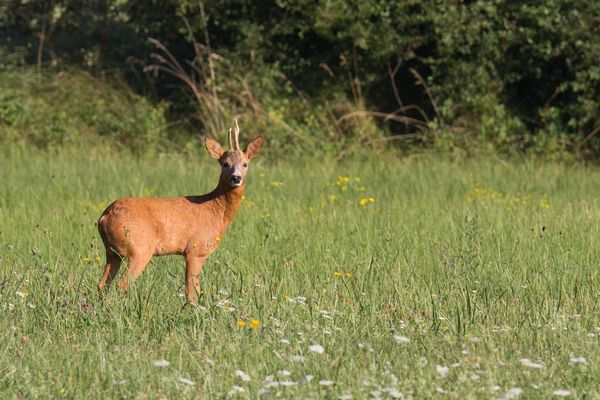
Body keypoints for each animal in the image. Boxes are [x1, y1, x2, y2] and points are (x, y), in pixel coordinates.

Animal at [97, 122, 264, 304]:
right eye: (225, 163)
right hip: (139, 248)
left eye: (245, 163)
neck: (217, 210)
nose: (236, 178)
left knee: (102, 284)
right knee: (121, 285)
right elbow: (192, 292)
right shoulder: (195, 250)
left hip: (112, 252)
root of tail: (104, 216)